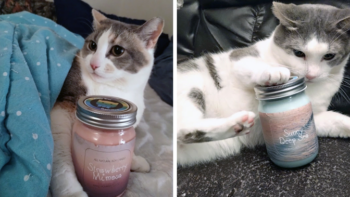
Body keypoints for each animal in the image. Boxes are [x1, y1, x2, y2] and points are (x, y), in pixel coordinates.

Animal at [49, 9, 164, 197]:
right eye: (93, 45)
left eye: (118, 50)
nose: (94, 64)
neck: (114, 90)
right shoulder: (61, 111)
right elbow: (62, 158)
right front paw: (73, 191)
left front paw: (135, 161)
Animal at [179, 2, 350, 166]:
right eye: (298, 53)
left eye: (329, 56)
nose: (311, 74)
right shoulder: (239, 58)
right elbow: (251, 65)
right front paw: (274, 72)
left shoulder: (312, 117)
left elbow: (334, 120)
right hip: (192, 85)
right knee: (181, 129)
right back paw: (236, 123)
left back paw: (237, 126)